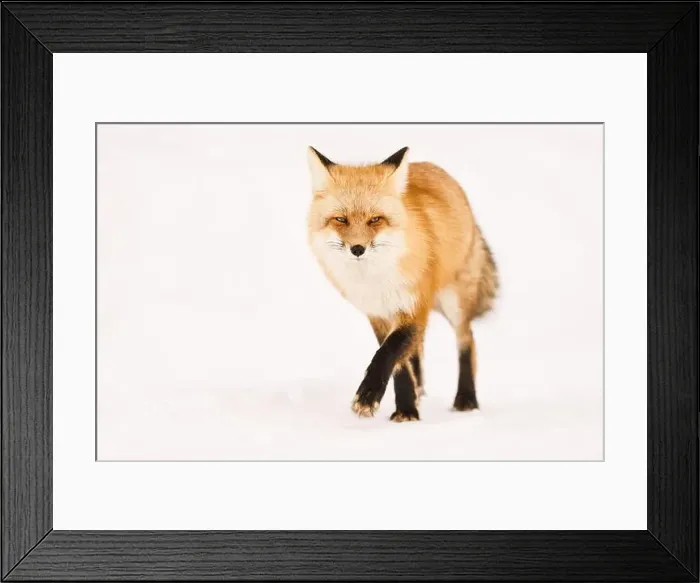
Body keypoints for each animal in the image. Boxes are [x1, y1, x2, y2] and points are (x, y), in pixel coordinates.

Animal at [306, 146, 498, 422]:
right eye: (340, 220)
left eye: (375, 220)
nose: (357, 249)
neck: (375, 279)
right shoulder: (377, 313)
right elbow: (398, 361)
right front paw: (406, 408)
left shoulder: (415, 305)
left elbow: (389, 352)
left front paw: (369, 396)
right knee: (417, 351)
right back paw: (419, 391)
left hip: (454, 302)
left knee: (467, 340)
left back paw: (466, 399)